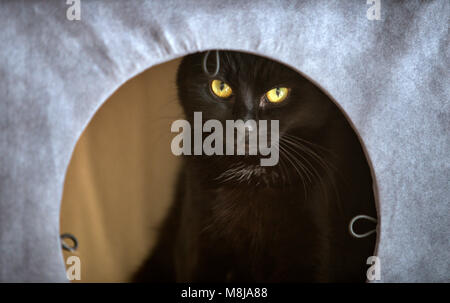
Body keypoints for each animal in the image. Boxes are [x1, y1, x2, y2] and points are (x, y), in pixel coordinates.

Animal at [134, 51, 376, 282]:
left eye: (277, 93)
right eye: (220, 87)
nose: (245, 126)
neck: (252, 175)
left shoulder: (311, 244)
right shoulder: (196, 238)